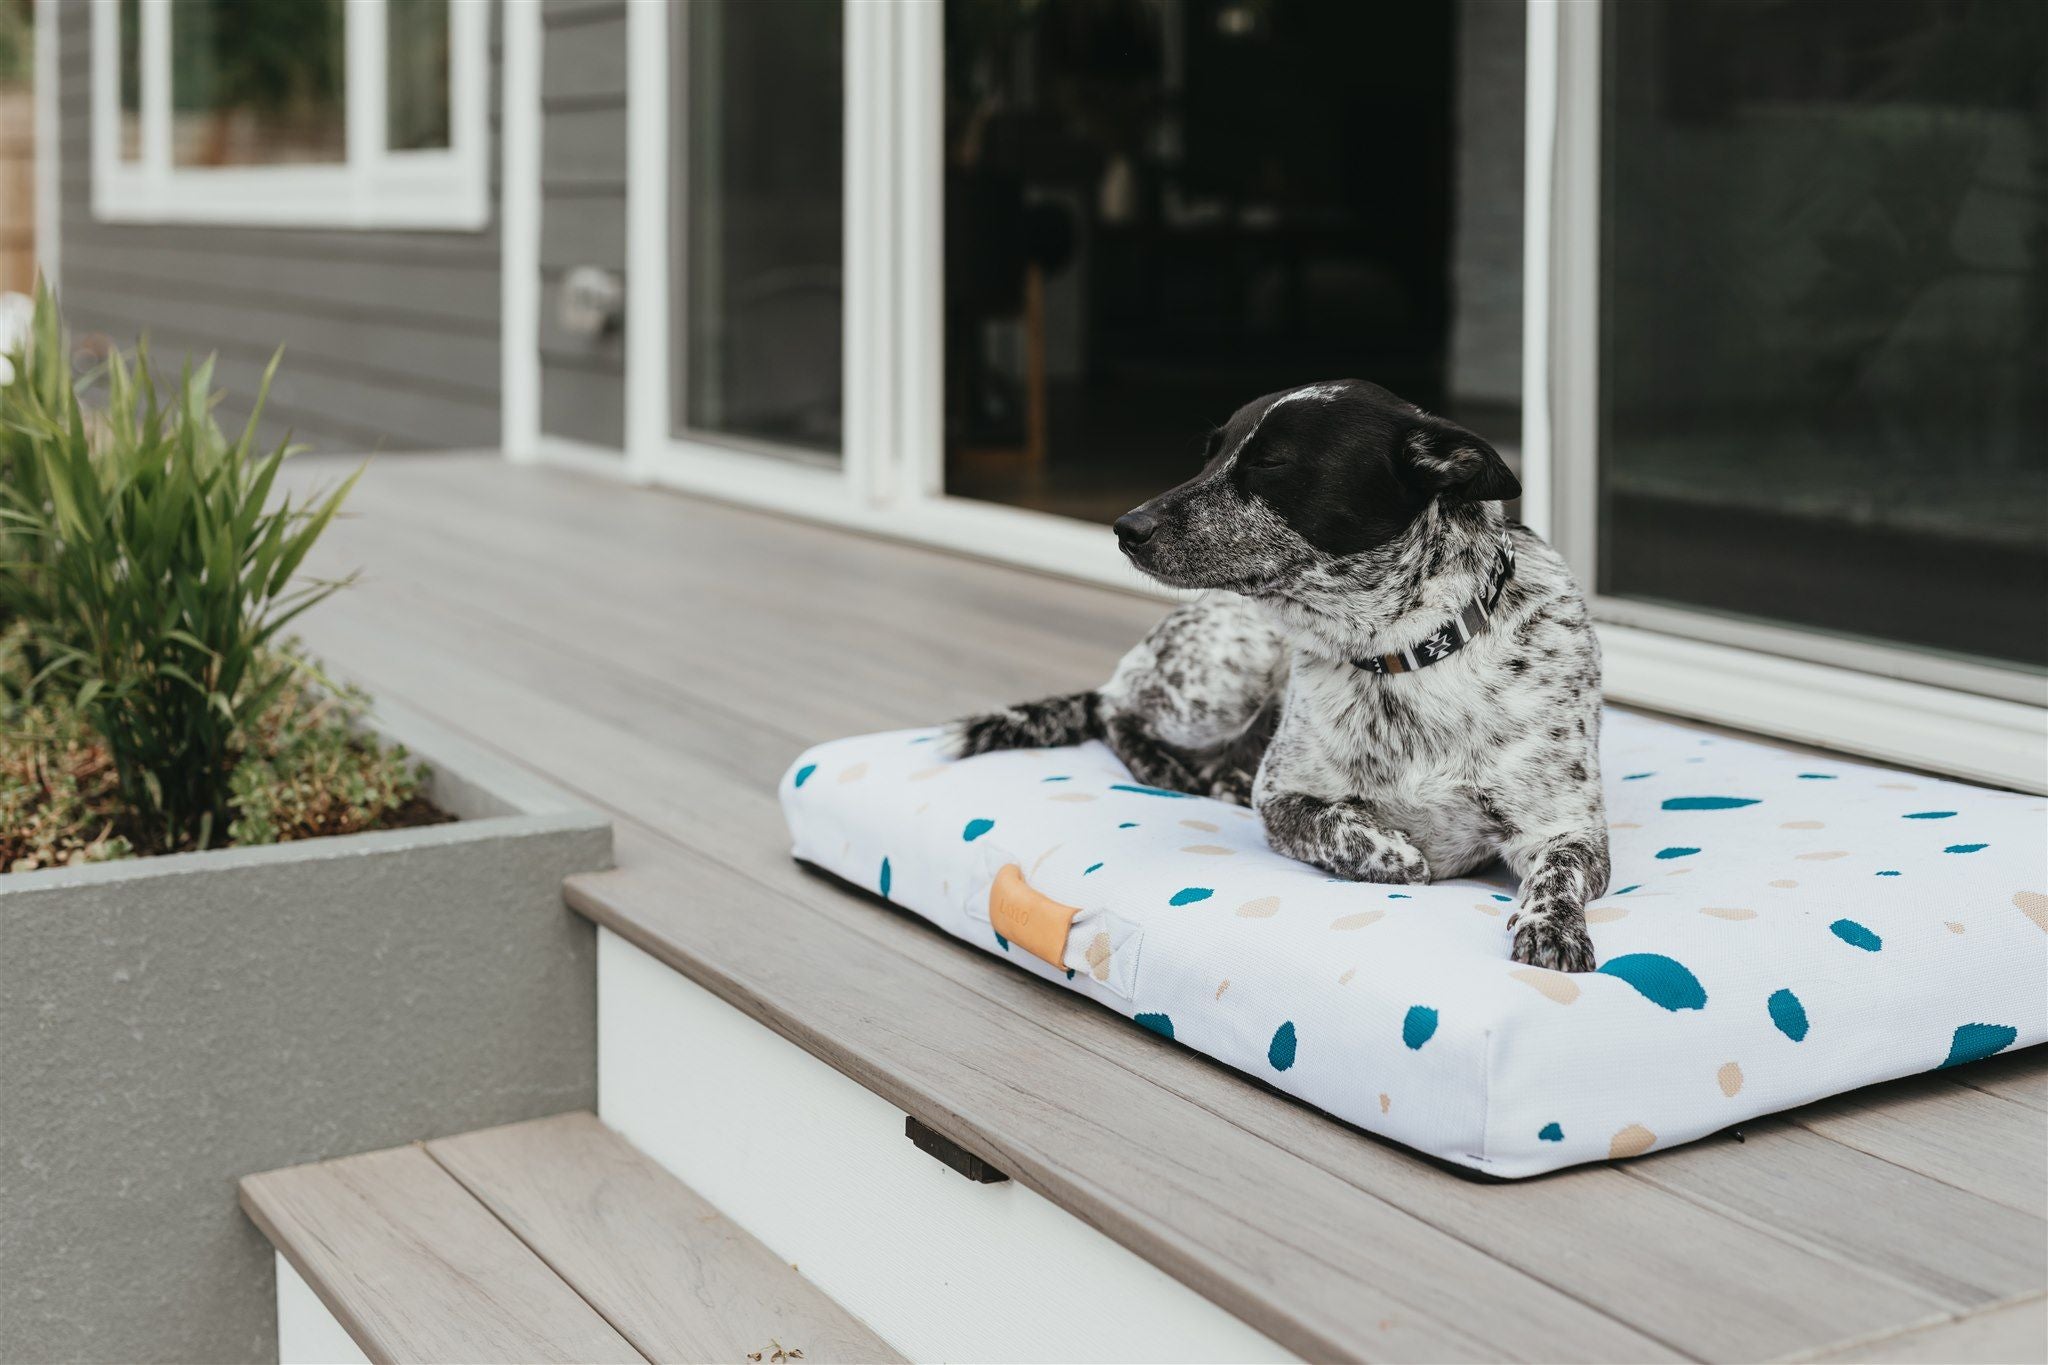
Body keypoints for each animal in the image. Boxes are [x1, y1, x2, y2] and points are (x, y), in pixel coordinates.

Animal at [946, 374, 1613, 970]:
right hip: (1221, 683)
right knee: (1114, 709)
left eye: (1270, 463)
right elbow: (1390, 853)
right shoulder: (1282, 797)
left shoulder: (1571, 829)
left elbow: (1555, 875)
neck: (1401, 655)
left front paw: (1551, 927)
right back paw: (1182, 771)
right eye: (1210, 454)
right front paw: (1406, 849)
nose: (1125, 528)